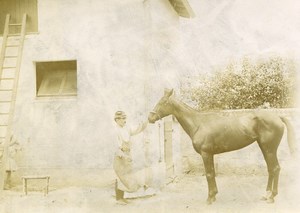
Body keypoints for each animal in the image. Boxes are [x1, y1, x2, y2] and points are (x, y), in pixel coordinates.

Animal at [148, 88, 296, 205]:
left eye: (163, 102)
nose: (150, 118)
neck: (198, 123)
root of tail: (278, 117)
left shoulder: (206, 154)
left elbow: (208, 174)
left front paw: (209, 199)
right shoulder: (210, 154)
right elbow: (213, 173)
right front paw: (214, 195)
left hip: (270, 149)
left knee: (275, 168)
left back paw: (272, 197)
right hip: (265, 148)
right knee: (271, 169)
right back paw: (266, 195)